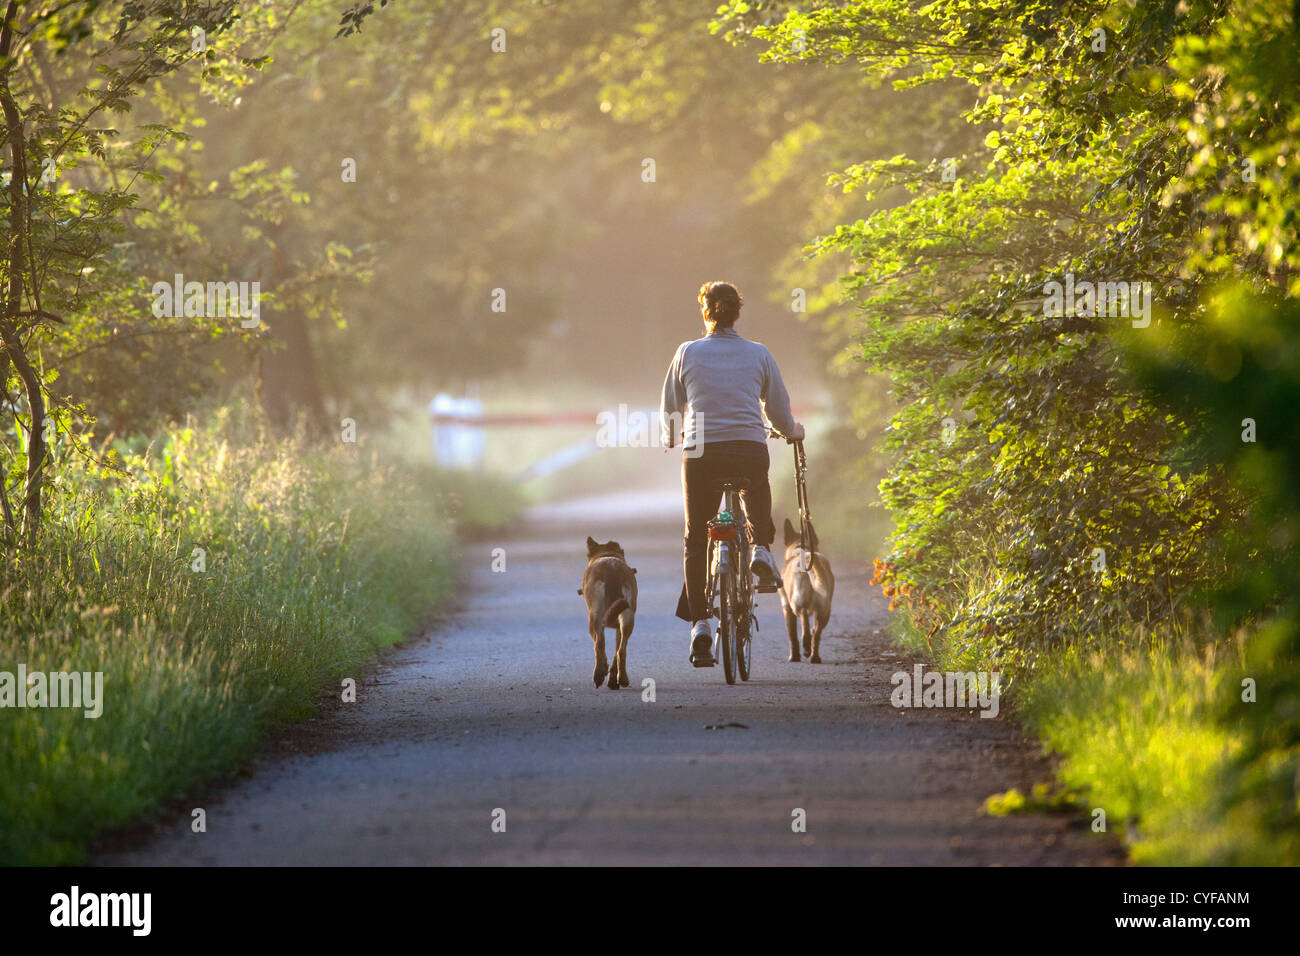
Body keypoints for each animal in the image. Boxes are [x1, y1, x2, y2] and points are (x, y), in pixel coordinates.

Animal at [582, 538, 637, 686]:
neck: (606, 554)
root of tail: (612, 571)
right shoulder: (619, 627)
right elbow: (617, 649)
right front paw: (613, 678)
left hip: (594, 619)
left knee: (599, 644)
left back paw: (598, 674)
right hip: (628, 618)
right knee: (621, 650)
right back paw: (622, 678)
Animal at [774, 520, 837, 660]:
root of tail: (808, 560)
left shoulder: (786, 608)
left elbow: (792, 636)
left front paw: (794, 657)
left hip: (796, 603)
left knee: (803, 617)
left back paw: (806, 645)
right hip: (825, 610)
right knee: (816, 633)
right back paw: (814, 656)